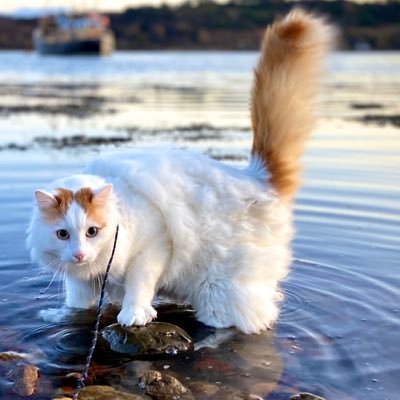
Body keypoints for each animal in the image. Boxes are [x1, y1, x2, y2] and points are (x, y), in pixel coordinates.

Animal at [27, 10, 332, 334]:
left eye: (92, 231)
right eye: (62, 234)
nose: (79, 254)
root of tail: (257, 176)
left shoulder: (153, 249)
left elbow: (139, 286)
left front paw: (134, 314)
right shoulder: (81, 281)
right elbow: (77, 303)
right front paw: (62, 316)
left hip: (219, 292)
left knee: (231, 324)